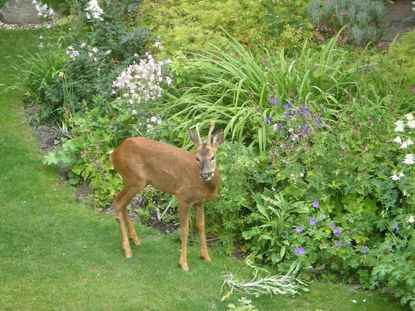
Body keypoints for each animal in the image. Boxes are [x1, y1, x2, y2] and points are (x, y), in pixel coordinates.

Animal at [109, 120, 223, 272]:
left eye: (213, 157)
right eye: (197, 158)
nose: (205, 174)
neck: (204, 186)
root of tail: (114, 154)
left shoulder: (199, 202)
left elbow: (201, 226)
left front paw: (206, 257)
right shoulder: (183, 197)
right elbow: (185, 229)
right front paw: (183, 263)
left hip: (134, 182)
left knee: (122, 203)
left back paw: (135, 240)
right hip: (135, 179)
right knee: (118, 202)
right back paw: (127, 250)